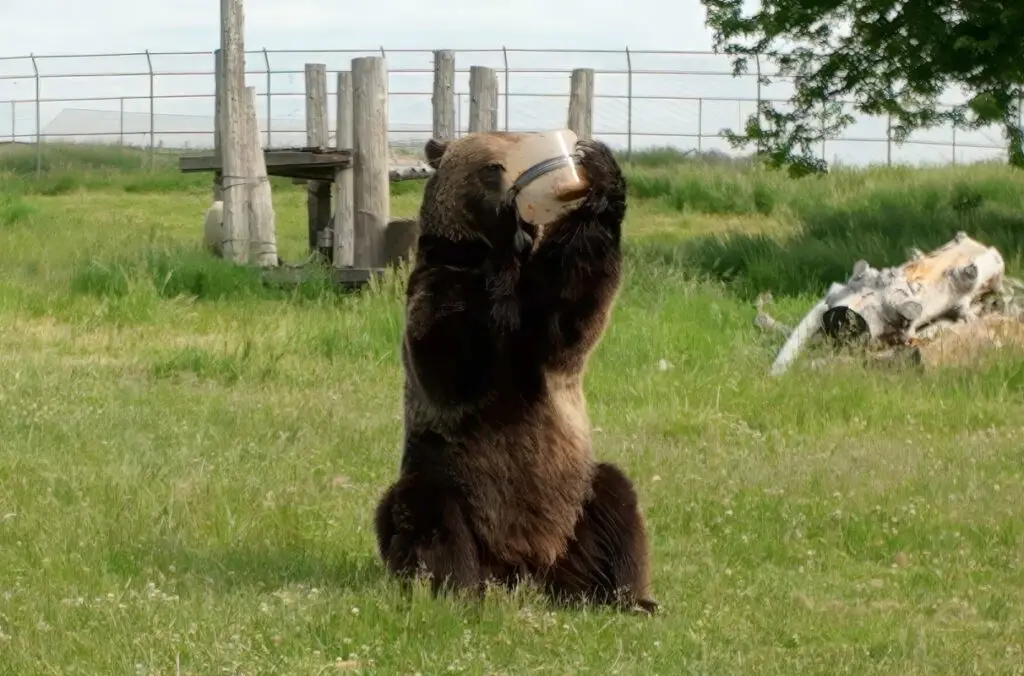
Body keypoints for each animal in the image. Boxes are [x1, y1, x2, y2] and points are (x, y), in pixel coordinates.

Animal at [372, 131, 657, 614]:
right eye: (490, 167)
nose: (514, 190)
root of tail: (524, 570)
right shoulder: (437, 286)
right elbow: (450, 364)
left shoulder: (539, 329)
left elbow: (573, 306)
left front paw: (599, 172)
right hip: (453, 480)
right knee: (427, 516)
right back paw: (458, 589)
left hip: (574, 499)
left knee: (615, 504)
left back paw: (623, 596)